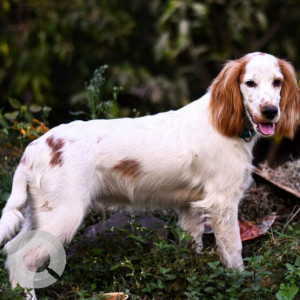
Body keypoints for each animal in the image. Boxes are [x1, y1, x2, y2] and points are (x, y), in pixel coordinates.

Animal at [0, 52, 298, 298]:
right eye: (250, 83)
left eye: (277, 82)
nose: (270, 111)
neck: (222, 121)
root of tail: (35, 148)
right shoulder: (222, 203)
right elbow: (234, 251)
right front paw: (240, 283)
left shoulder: (190, 207)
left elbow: (193, 247)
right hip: (62, 216)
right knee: (24, 258)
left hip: (38, 215)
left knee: (12, 252)